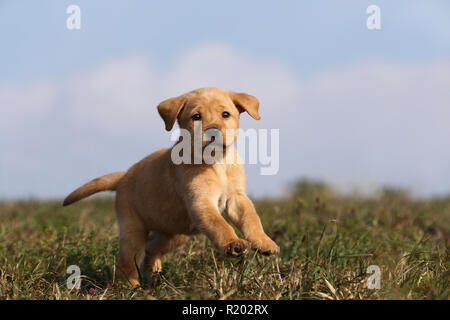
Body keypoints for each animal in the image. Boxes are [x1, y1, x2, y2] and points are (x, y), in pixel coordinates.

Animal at [62, 86, 282, 286]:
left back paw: (154, 273)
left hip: (175, 233)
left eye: (225, 114)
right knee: (128, 261)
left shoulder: (236, 198)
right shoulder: (201, 201)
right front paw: (232, 243)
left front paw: (264, 242)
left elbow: (251, 219)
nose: (213, 132)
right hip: (133, 230)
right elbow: (219, 224)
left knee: (151, 248)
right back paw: (131, 287)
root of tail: (123, 176)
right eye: (196, 116)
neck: (217, 162)